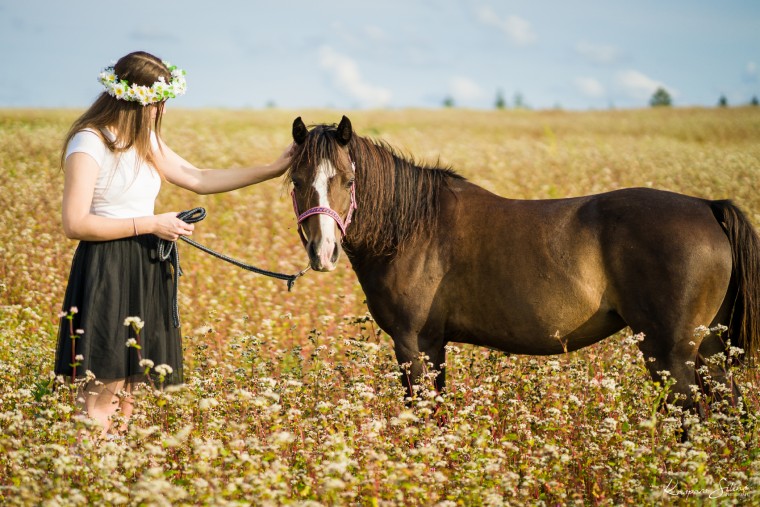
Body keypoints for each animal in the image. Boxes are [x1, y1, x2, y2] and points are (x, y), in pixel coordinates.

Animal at [290, 116, 760, 416]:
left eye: (348, 180)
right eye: (296, 181)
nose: (322, 252)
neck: (412, 227)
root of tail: (707, 207)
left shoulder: (412, 344)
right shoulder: (434, 344)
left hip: (670, 355)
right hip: (710, 350)